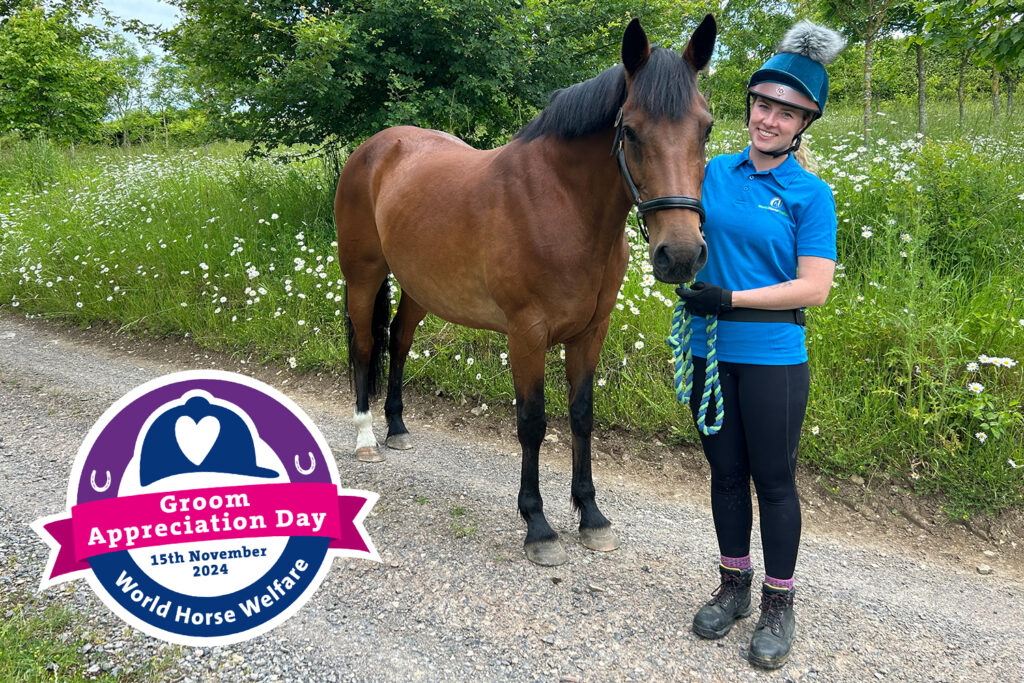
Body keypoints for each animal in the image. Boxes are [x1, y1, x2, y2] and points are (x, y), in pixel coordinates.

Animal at [339, 15, 716, 565]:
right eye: (630, 130)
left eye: (705, 127)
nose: (682, 254)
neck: (561, 203)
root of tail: (375, 148)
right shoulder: (527, 333)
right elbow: (533, 422)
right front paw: (538, 525)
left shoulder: (590, 332)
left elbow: (581, 415)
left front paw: (592, 516)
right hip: (363, 275)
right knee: (367, 345)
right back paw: (367, 437)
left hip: (419, 289)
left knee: (399, 341)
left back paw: (398, 429)